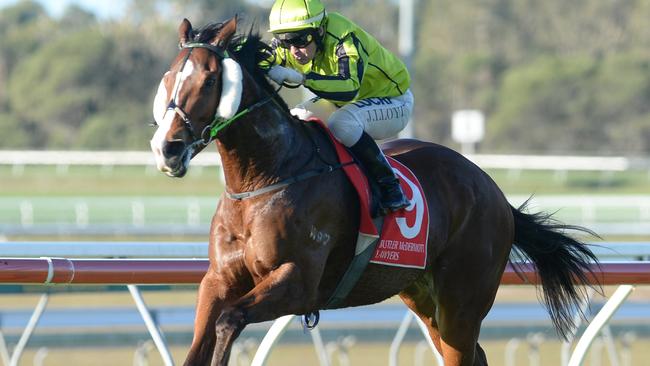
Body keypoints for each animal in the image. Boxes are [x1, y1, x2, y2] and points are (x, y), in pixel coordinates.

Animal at [148, 17, 596, 366]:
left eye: (209, 79)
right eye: (168, 77)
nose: (166, 148)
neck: (262, 179)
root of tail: (495, 194)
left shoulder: (298, 282)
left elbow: (229, 321)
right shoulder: (218, 280)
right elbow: (202, 339)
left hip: (463, 301)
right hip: (422, 297)